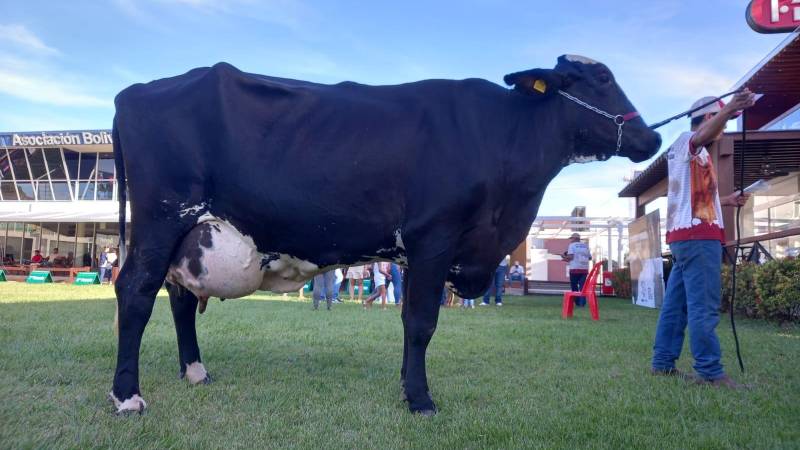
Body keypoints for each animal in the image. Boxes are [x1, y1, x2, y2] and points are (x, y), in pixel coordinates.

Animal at [109, 55, 660, 414]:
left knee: (179, 298)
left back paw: (195, 372)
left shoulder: (417, 253)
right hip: (162, 217)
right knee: (134, 292)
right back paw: (127, 395)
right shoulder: (435, 237)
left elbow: (409, 321)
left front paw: (406, 386)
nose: (651, 136)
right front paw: (420, 399)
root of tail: (133, 92)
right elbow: (421, 324)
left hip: (188, 235)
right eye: (603, 77)